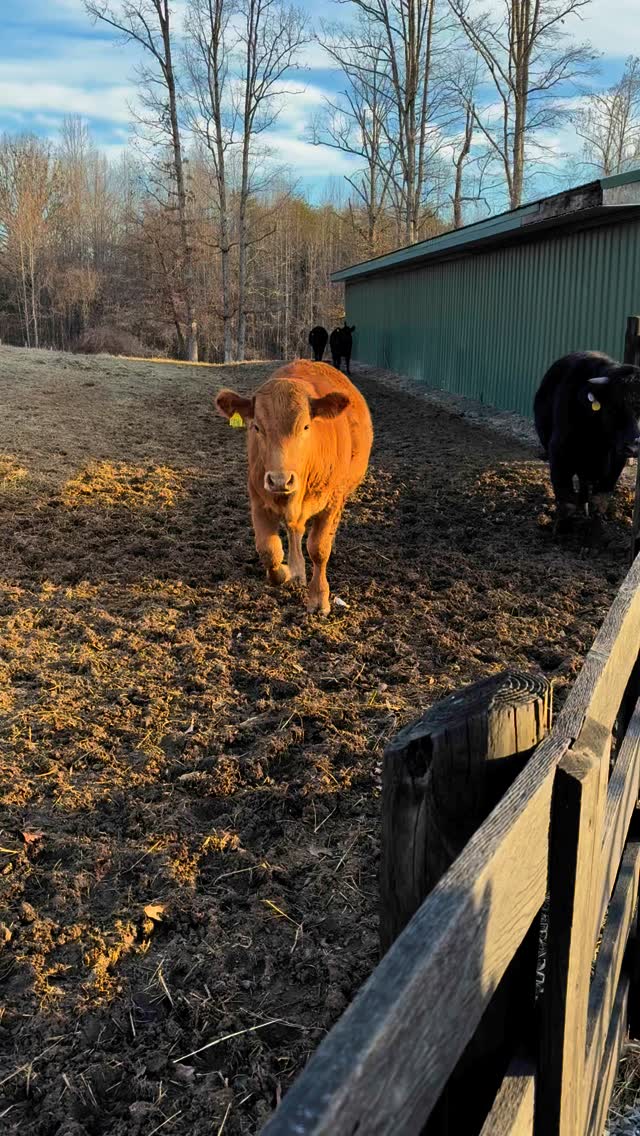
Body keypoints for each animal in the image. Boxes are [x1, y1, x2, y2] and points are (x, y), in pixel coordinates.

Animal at [215, 360, 373, 614]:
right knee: (294, 530)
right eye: (256, 427)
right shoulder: (258, 498)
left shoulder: (333, 502)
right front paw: (286, 572)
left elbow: (319, 549)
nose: (280, 480)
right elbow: (269, 550)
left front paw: (319, 598)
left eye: (306, 427)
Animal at [534, 350, 640, 542]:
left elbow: (600, 500)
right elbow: (566, 498)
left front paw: (595, 534)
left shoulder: (615, 462)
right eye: (614, 408)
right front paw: (562, 528)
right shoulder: (558, 452)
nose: (634, 447)